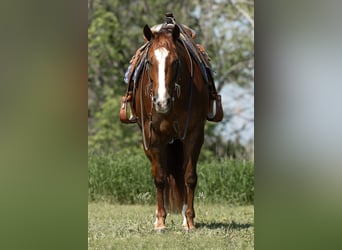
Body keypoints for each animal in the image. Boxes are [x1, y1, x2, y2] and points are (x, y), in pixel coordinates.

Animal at [135, 24, 210, 229]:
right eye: (149, 62)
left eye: (176, 62)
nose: (161, 102)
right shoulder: (152, 136)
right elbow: (160, 178)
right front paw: (160, 222)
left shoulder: (194, 134)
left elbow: (189, 177)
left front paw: (190, 221)